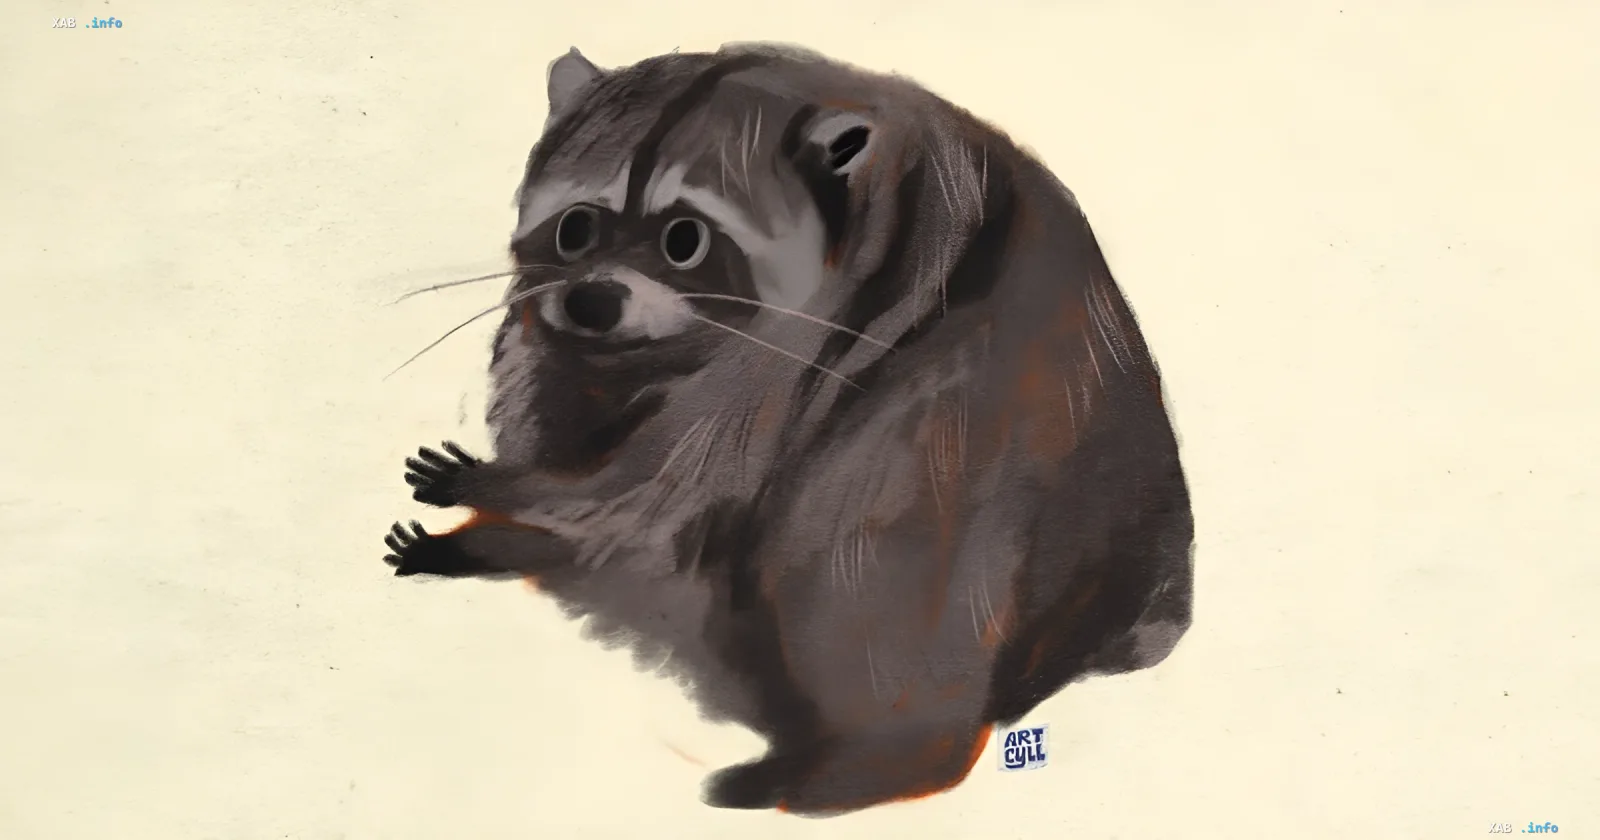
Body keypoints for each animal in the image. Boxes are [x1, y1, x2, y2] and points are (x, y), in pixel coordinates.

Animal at [381, 42, 1194, 817]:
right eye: (576, 227)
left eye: (685, 240)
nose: (591, 302)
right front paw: (501, 525)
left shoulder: (798, 348)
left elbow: (644, 491)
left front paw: (503, 493)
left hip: (962, 433)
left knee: (862, 545)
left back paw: (873, 762)